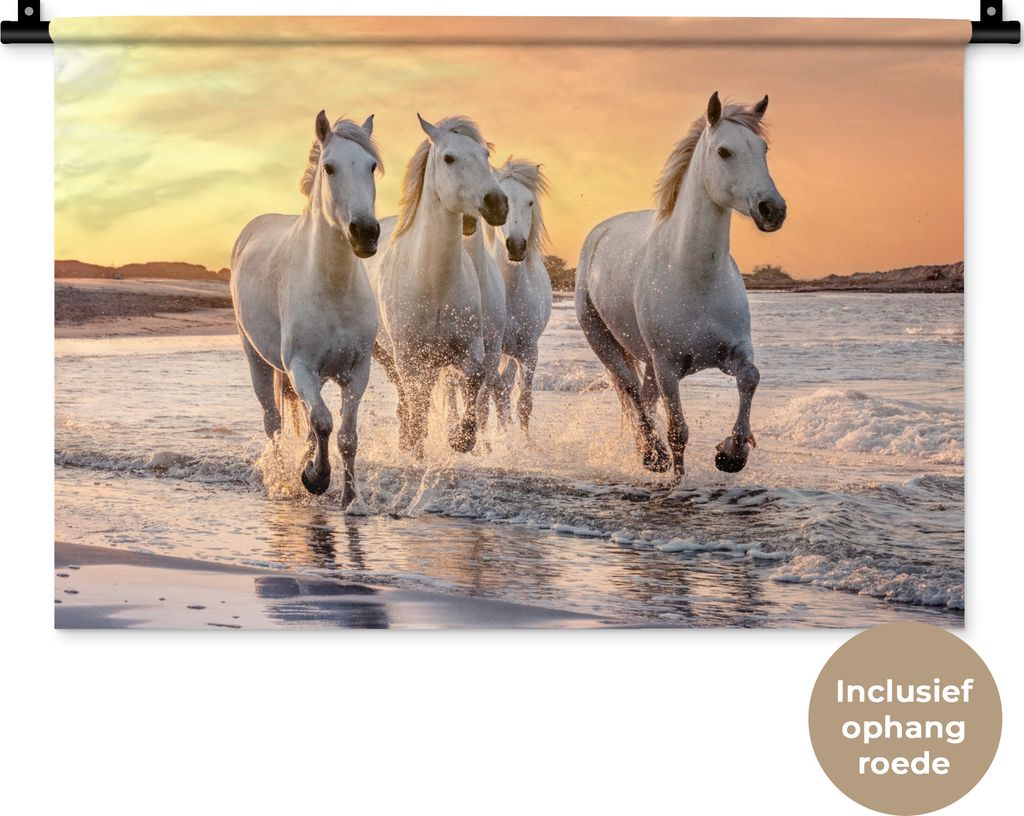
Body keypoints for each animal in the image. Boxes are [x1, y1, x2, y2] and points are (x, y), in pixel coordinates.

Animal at [230, 111, 383, 506]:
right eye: (329, 167)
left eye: (371, 166)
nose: (365, 233)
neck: (333, 288)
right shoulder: (300, 367)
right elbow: (324, 423)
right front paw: (316, 478)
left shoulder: (357, 371)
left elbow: (345, 435)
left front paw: (350, 498)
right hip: (257, 360)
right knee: (273, 422)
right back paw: (284, 479)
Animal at [365, 115, 508, 457]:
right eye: (449, 158)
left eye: (485, 155)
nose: (497, 204)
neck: (434, 283)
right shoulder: (408, 356)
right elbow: (416, 402)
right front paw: (416, 444)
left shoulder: (469, 348)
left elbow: (475, 379)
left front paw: (461, 439)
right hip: (385, 353)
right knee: (406, 396)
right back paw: (407, 440)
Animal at [575, 92, 786, 477]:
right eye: (723, 151)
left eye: (763, 148)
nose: (772, 210)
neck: (695, 278)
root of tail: (600, 232)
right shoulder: (668, 366)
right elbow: (678, 431)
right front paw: (678, 476)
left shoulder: (734, 351)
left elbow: (751, 378)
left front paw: (731, 453)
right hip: (604, 342)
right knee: (632, 392)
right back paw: (652, 455)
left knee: (644, 398)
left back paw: (646, 451)